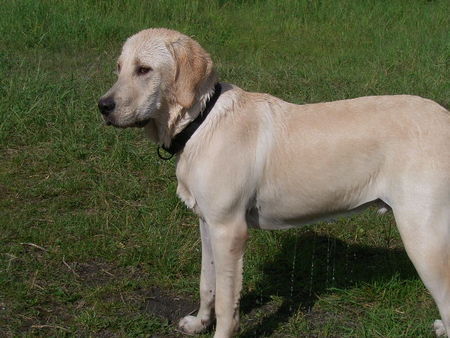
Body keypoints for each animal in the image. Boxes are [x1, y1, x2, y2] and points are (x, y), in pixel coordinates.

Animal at [99, 27, 450, 336]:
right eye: (118, 67)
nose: (103, 106)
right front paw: (199, 323)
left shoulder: (229, 230)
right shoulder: (208, 223)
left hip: (423, 236)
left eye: (144, 69)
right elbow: (206, 283)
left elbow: (227, 302)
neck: (201, 121)